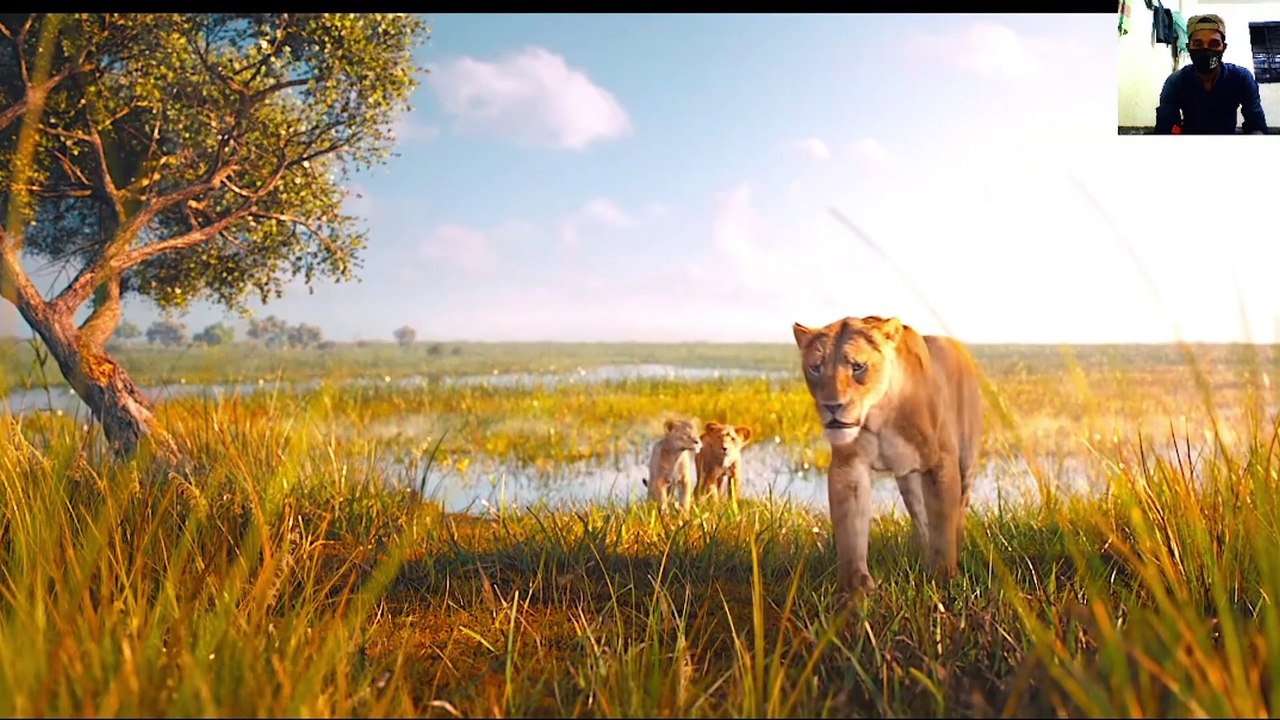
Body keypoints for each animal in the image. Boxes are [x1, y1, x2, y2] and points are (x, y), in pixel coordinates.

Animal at [791, 315, 982, 595]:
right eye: (816, 368)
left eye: (858, 367)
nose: (832, 406)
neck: (878, 414)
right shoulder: (849, 465)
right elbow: (850, 532)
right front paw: (854, 592)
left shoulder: (940, 462)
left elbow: (943, 522)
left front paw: (944, 579)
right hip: (909, 481)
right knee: (921, 518)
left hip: (966, 461)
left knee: (960, 508)